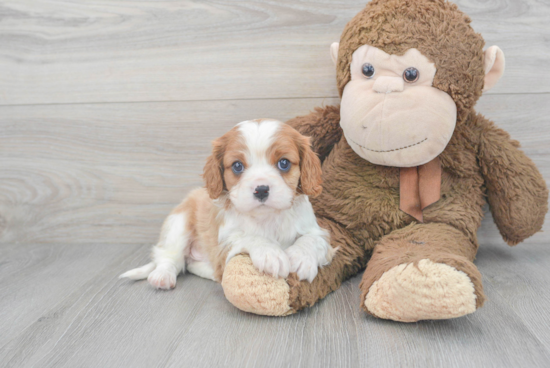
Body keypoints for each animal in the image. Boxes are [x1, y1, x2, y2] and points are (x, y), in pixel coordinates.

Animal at [121, 119, 336, 288]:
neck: (267, 218)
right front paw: (270, 254)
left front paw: (301, 258)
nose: (261, 189)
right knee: (169, 256)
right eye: (237, 166)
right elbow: (250, 236)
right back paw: (162, 276)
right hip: (178, 224)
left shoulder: (317, 231)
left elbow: (312, 239)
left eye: (284, 163)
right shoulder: (224, 244)